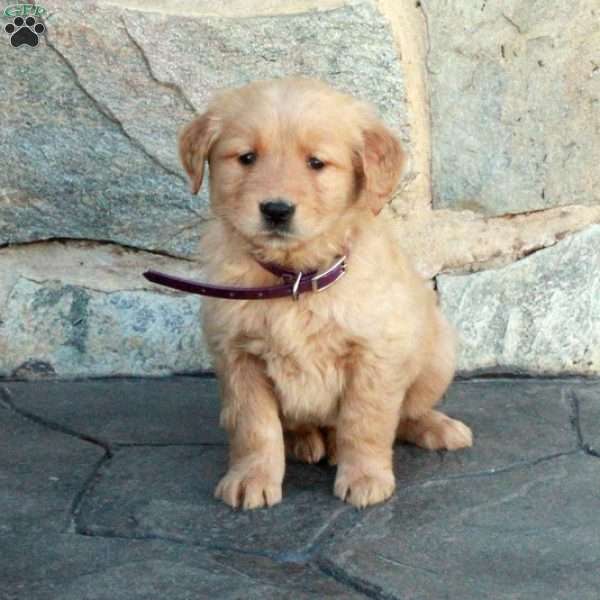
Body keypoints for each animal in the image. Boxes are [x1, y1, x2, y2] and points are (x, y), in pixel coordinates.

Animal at [178, 77, 474, 508]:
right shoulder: (237, 356)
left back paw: (438, 428)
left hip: (438, 353)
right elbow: (254, 426)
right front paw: (251, 477)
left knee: (408, 413)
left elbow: (364, 421)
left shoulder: (375, 353)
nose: (276, 210)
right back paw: (307, 442)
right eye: (246, 158)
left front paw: (365, 476)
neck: (295, 277)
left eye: (316, 163)